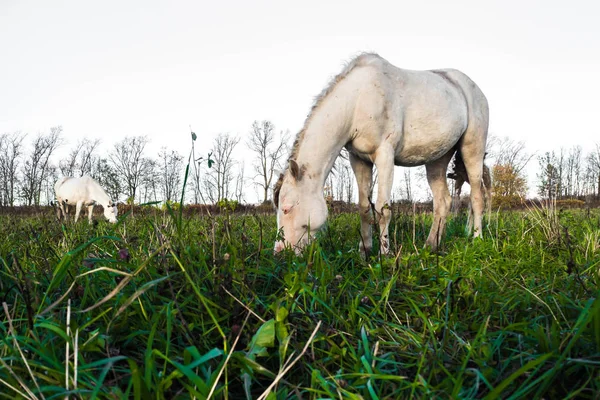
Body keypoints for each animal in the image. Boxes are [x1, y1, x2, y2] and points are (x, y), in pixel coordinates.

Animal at [274, 53, 490, 255]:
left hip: (473, 150)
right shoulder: (359, 160)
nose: (279, 252)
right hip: (437, 159)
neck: (358, 100)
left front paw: (385, 253)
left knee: (477, 197)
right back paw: (431, 245)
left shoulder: (385, 156)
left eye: (286, 208)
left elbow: (382, 208)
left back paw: (477, 239)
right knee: (442, 202)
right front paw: (365, 251)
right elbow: (364, 208)